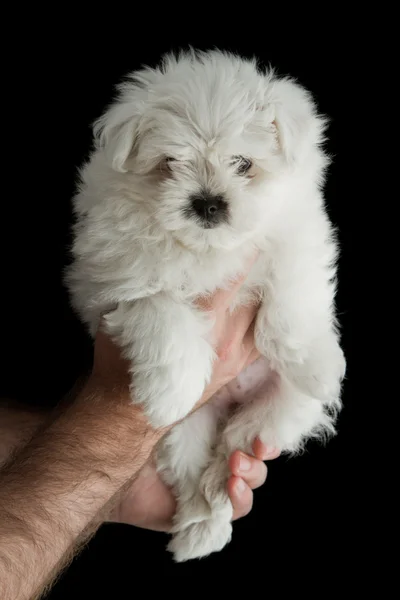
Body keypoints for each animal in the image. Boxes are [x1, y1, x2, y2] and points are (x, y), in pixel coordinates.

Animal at [65, 49, 344, 560]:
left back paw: (217, 498)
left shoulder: (297, 234)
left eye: (243, 163)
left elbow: (290, 291)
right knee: (192, 466)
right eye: (170, 163)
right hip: (181, 434)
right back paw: (200, 523)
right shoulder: (110, 282)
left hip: (276, 415)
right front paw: (169, 391)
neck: (206, 249)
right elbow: (159, 310)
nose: (209, 203)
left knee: (240, 442)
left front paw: (314, 364)